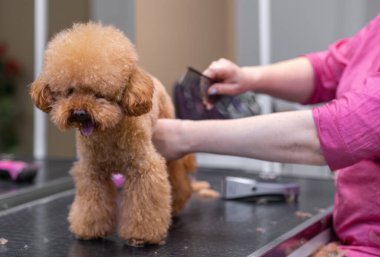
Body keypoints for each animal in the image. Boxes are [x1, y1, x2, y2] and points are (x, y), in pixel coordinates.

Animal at [30, 22, 196, 246]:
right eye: (71, 91)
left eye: (99, 94)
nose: (80, 113)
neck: (108, 133)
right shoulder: (92, 171)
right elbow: (92, 203)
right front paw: (88, 229)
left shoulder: (144, 168)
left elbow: (145, 204)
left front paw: (141, 235)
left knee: (178, 179)